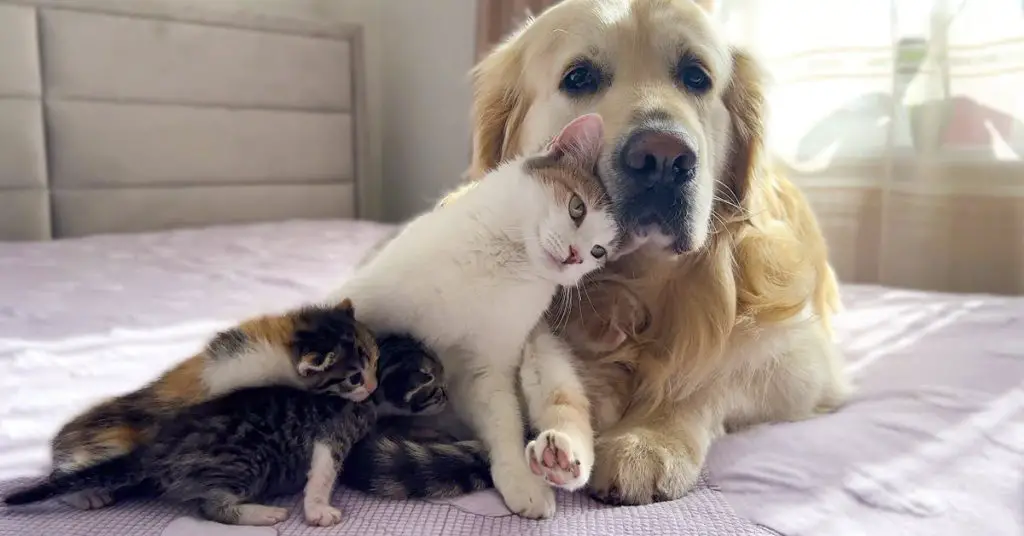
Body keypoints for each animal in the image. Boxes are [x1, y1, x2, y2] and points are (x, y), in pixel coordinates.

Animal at [3, 332, 448, 528]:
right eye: (431, 380)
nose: (447, 394)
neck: (367, 400)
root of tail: (156, 449)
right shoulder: (333, 428)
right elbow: (323, 469)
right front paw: (318, 508)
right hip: (243, 461)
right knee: (210, 507)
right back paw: (263, 513)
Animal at [46, 299, 378, 510]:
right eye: (354, 378)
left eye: (375, 361)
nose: (373, 387)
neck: (284, 349)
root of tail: (62, 439)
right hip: (112, 439)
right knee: (64, 475)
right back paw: (86, 496)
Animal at [327, 114, 614, 520]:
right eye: (577, 208)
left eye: (599, 251)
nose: (576, 256)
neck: (505, 261)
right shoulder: (361, 301)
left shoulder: (488, 367)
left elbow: (504, 421)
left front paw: (520, 479)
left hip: (544, 354)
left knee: (563, 409)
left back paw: (558, 458)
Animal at [444, 0, 851, 508]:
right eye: (578, 77)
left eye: (696, 76)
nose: (664, 157)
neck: (631, 285)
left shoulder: (805, 359)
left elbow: (717, 371)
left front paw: (647, 438)